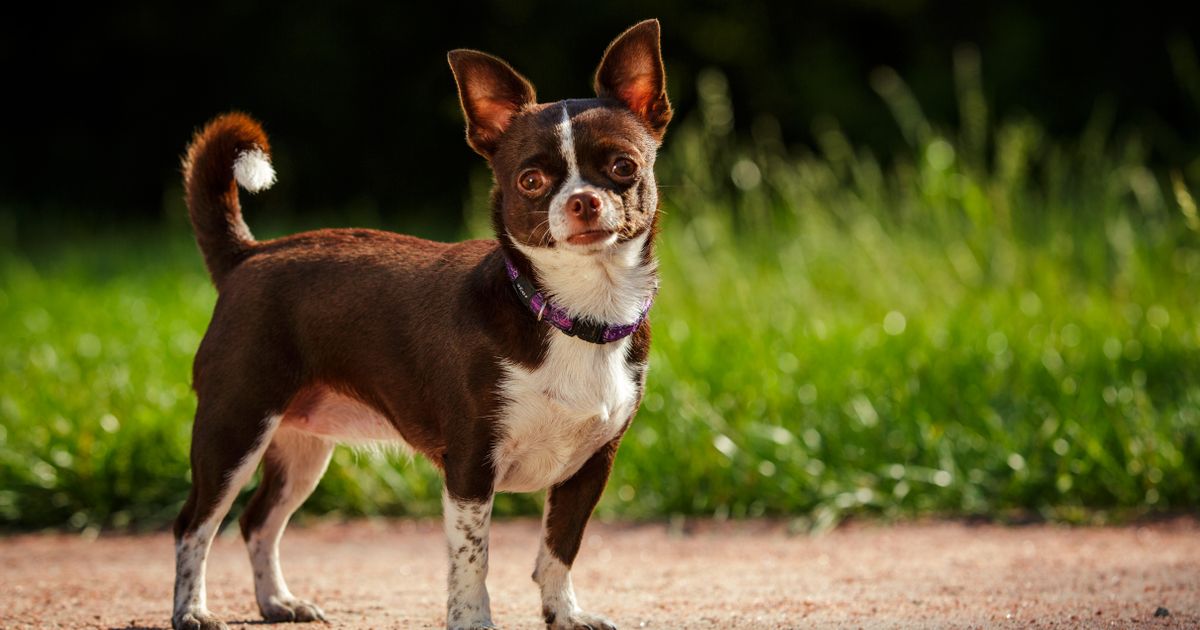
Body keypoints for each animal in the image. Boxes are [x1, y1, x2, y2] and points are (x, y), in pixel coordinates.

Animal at [171, 19, 667, 628]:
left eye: (624, 167)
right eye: (530, 181)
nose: (583, 201)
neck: (570, 311)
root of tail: (249, 254)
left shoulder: (590, 467)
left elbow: (559, 550)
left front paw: (565, 615)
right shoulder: (471, 467)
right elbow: (472, 559)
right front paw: (473, 620)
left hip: (302, 446)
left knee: (257, 520)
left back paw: (277, 601)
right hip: (234, 429)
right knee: (196, 523)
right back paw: (192, 610)